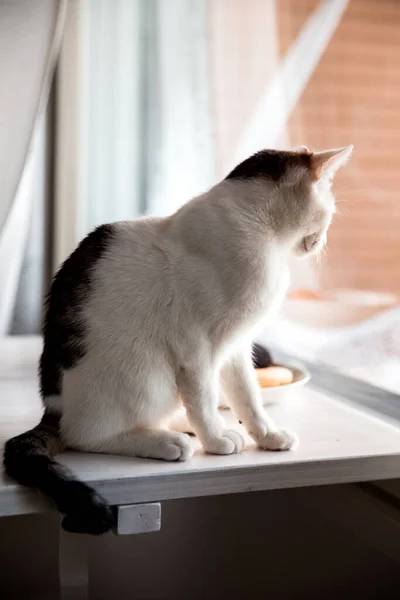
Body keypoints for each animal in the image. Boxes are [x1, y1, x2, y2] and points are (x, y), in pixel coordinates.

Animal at [3, 145, 354, 536]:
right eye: (330, 211)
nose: (321, 242)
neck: (262, 235)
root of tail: (54, 407)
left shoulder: (236, 347)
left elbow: (248, 397)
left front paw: (267, 435)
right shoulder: (197, 347)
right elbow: (204, 397)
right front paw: (215, 441)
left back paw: (181, 426)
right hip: (148, 375)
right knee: (87, 434)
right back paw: (166, 441)